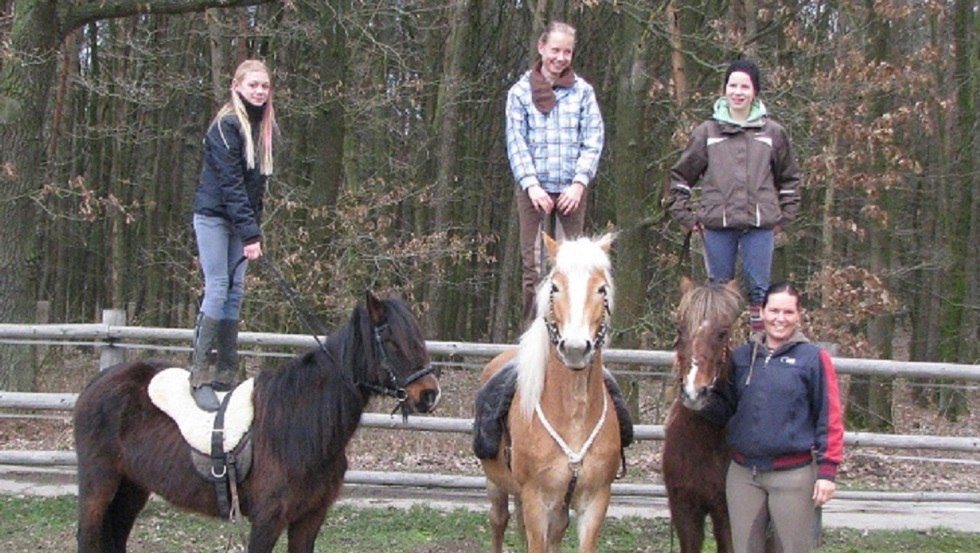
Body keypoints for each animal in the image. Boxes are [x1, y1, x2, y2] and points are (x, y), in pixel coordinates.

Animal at [74, 292, 442, 548]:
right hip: (98, 484)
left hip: (132, 487)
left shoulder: (310, 518)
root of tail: (98, 382)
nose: (429, 394)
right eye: (391, 340)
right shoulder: (267, 520)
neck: (300, 422)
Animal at [474, 233, 620, 552]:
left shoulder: (596, 501)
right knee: (498, 521)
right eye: (555, 287)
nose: (576, 348)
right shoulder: (535, 501)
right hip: (496, 486)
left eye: (601, 289)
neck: (574, 416)